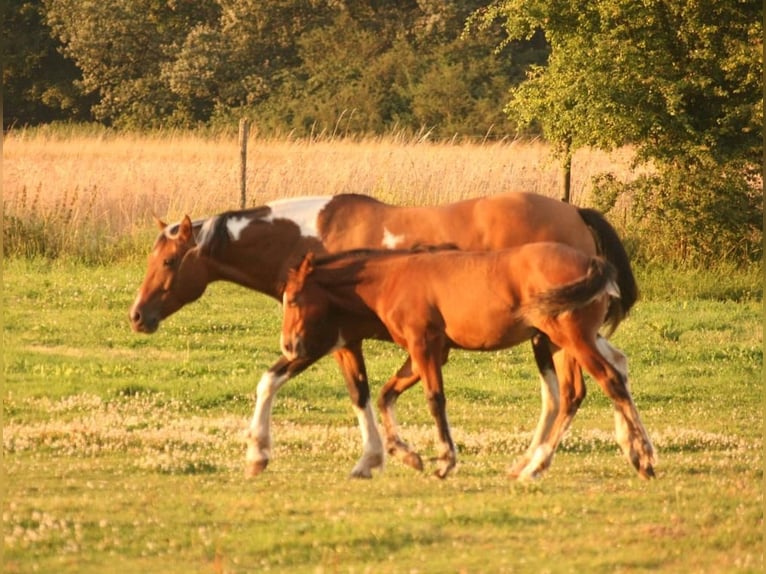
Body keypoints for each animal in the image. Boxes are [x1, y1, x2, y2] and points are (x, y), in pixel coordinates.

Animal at [284, 249, 656, 482]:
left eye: (293, 299)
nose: (288, 347)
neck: (393, 279)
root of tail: (594, 263)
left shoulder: (424, 347)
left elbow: (435, 400)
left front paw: (445, 461)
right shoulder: (431, 352)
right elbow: (387, 394)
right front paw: (407, 455)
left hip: (574, 340)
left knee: (609, 381)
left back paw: (646, 457)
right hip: (564, 344)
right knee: (577, 392)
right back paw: (540, 466)